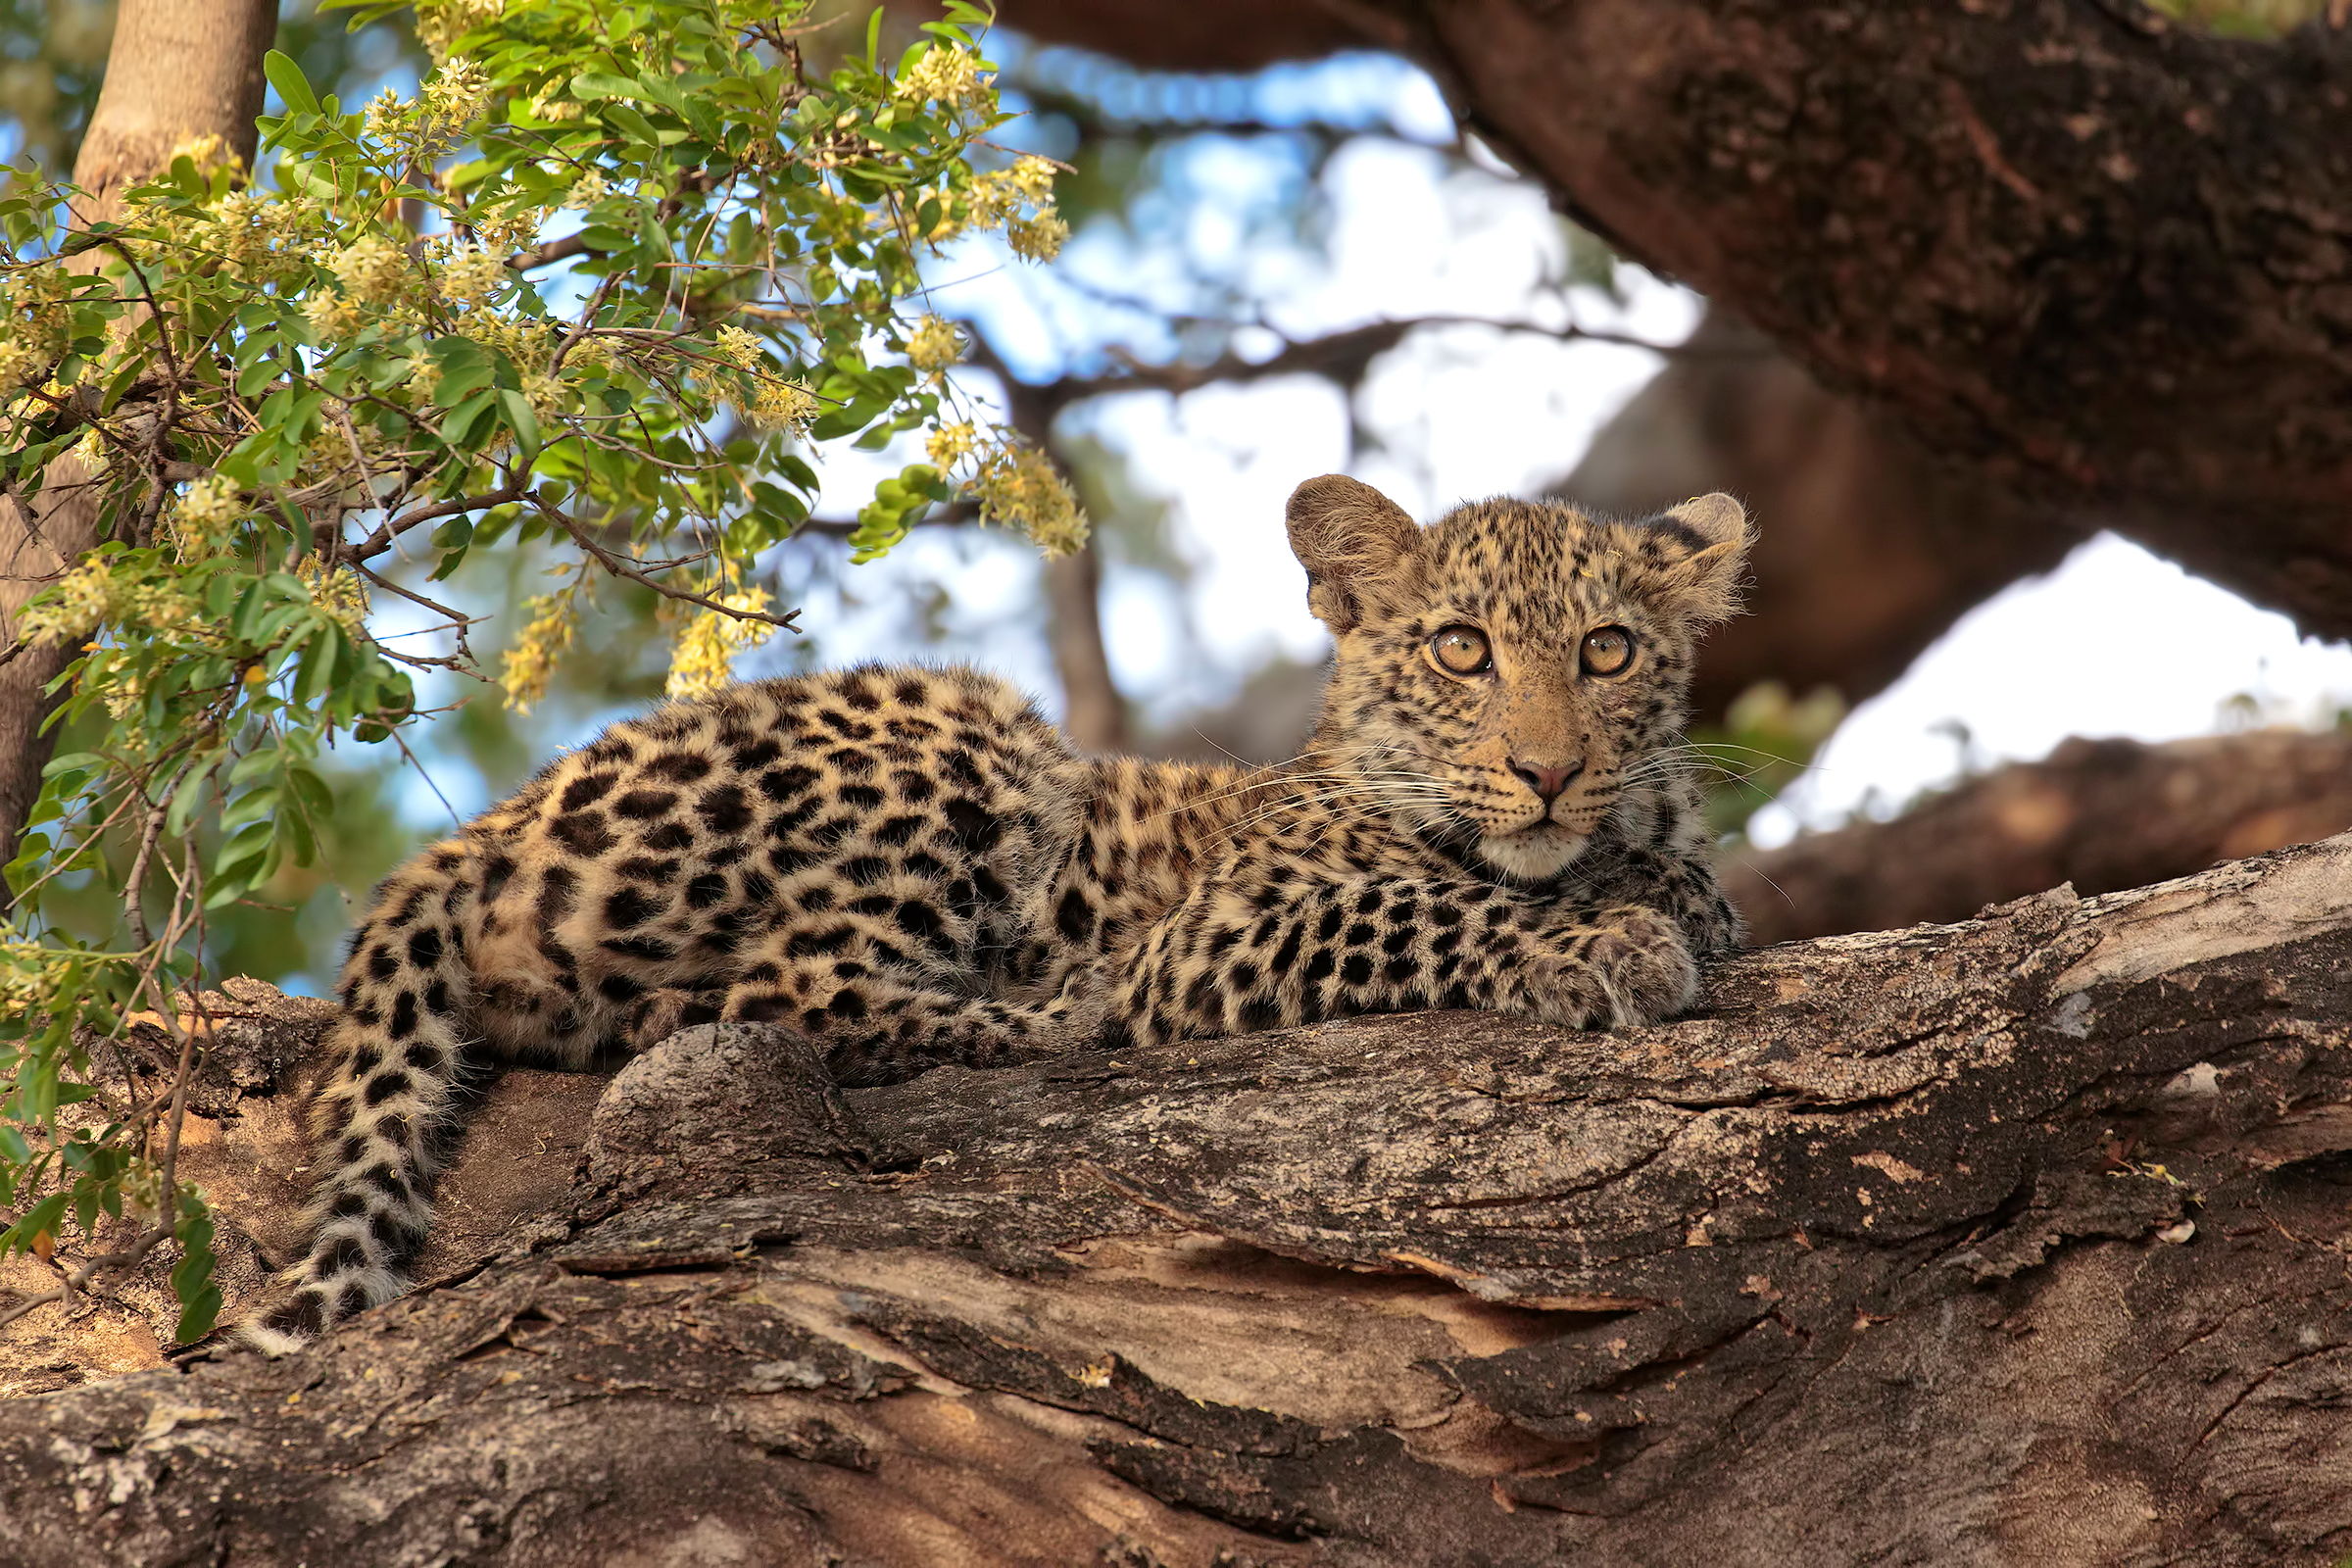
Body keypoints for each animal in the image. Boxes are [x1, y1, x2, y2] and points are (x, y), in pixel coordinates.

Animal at [243, 474, 1751, 1351]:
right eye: (1460, 650)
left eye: (1607, 650)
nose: (1547, 769)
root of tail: (489, 825)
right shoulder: (1220, 934)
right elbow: (1420, 911)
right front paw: (1606, 945)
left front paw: (1659, 896)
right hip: (974, 737)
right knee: (811, 987)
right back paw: (1057, 1010)